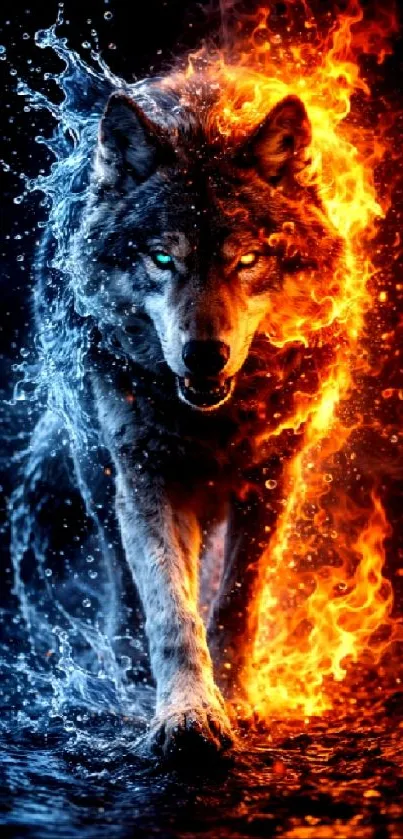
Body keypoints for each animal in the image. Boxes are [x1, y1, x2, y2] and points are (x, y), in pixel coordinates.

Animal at [31, 76, 342, 759]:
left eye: (247, 260)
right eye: (162, 260)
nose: (204, 354)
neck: (212, 420)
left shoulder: (273, 478)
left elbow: (237, 603)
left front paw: (240, 703)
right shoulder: (148, 478)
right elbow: (172, 611)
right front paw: (188, 714)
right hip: (98, 469)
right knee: (122, 577)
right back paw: (128, 667)